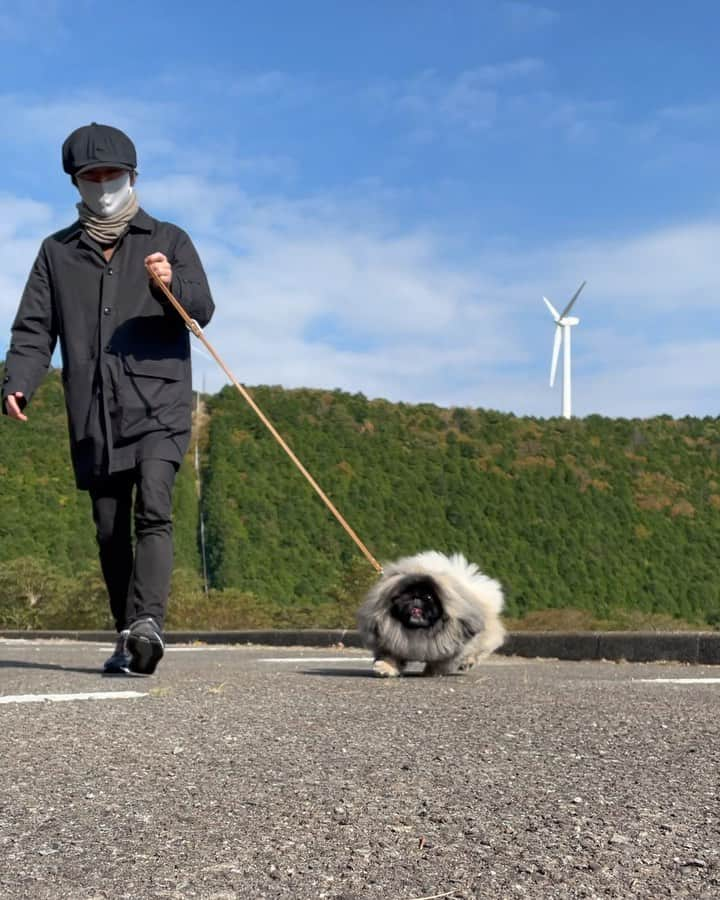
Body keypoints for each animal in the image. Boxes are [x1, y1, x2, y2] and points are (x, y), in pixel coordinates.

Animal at [356, 552, 504, 680]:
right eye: (405, 595)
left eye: (428, 597)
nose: (416, 597)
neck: (418, 630)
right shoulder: (391, 642)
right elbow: (389, 657)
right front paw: (385, 668)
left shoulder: (451, 648)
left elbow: (440, 662)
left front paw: (430, 672)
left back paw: (467, 662)